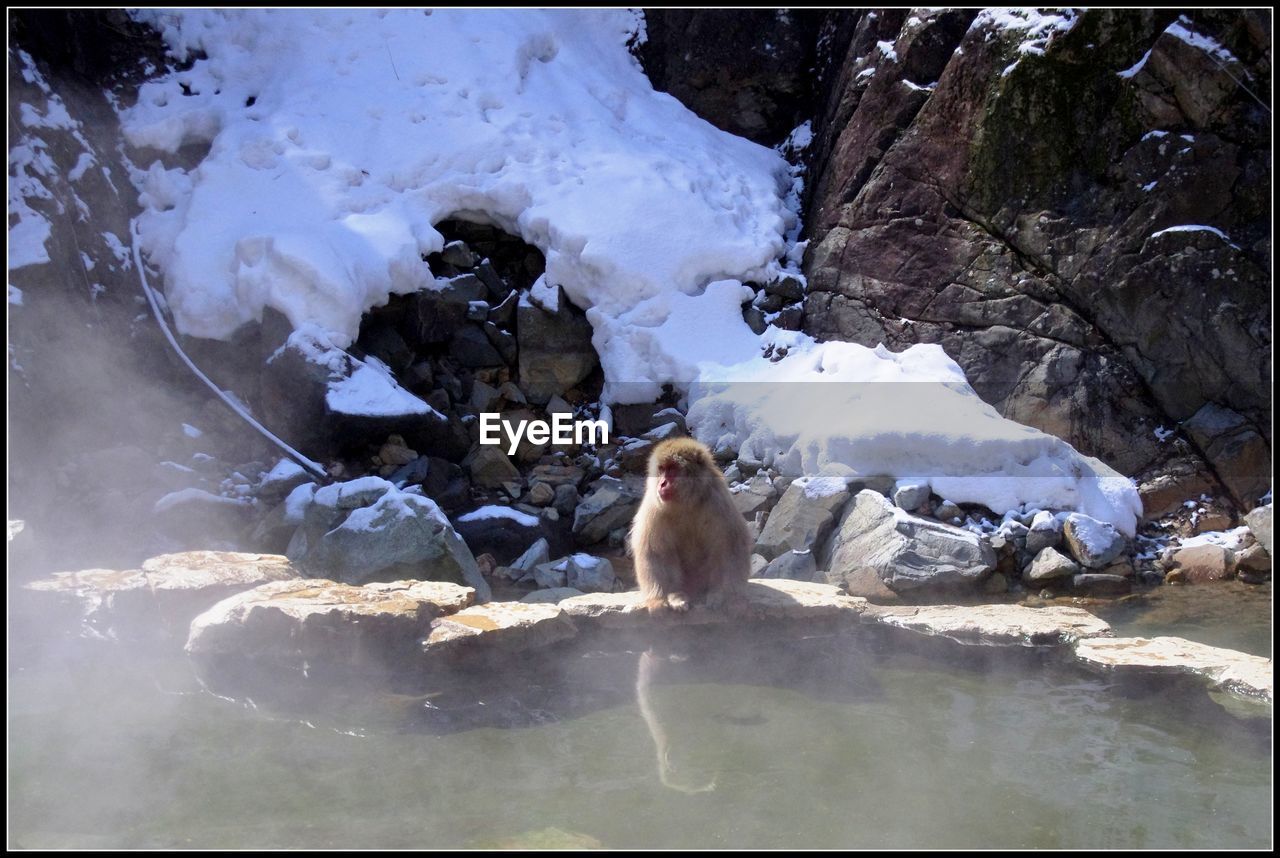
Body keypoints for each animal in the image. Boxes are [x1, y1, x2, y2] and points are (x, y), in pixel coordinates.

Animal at [627, 440, 747, 614]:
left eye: (672, 469)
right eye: (661, 469)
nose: (662, 483)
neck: (686, 502)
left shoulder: (718, 501)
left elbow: (730, 546)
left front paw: (729, 596)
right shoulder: (654, 508)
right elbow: (655, 551)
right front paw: (658, 599)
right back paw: (676, 594)